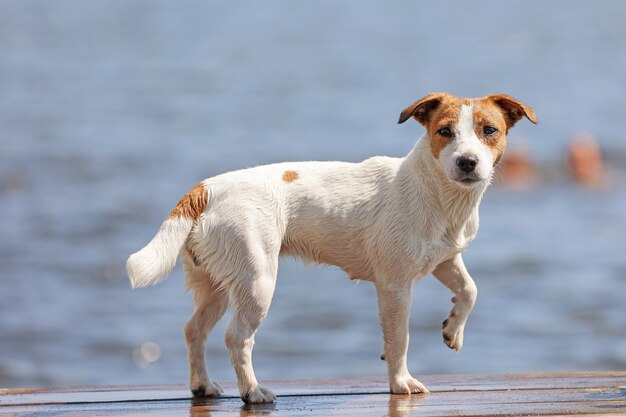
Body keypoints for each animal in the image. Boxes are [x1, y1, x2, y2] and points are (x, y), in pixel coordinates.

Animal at [125, 92, 532, 404]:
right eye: (444, 132)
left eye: (489, 131)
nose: (467, 162)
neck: (436, 192)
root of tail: (206, 188)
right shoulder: (395, 285)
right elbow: (399, 337)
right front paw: (400, 382)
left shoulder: (444, 260)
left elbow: (470, 290)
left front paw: (452, 330)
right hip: (257, 283)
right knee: (236, 338)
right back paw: (253, 392)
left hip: (219, 284)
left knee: (193, 329)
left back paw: (203, 386)